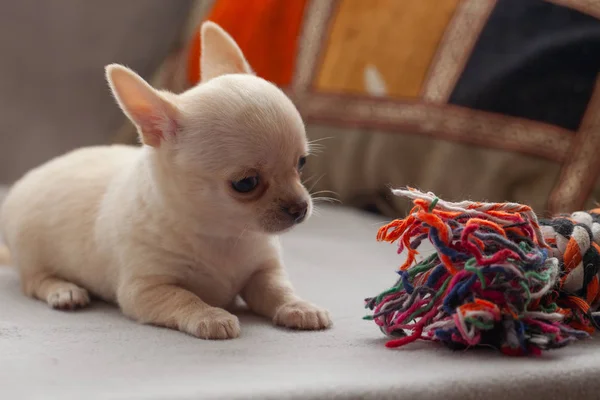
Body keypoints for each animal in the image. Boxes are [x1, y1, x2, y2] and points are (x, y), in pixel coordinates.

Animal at [0, 21, 332, 340]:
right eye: (246, 183)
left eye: (301, 163)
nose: (301, 209)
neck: (222, 235)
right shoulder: (145, 289)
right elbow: (183, 297)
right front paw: (210, 315)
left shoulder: (263, 271)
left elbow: (277, 289)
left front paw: (299, 306)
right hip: (31, 252)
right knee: (34, 281)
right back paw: (63, 290)